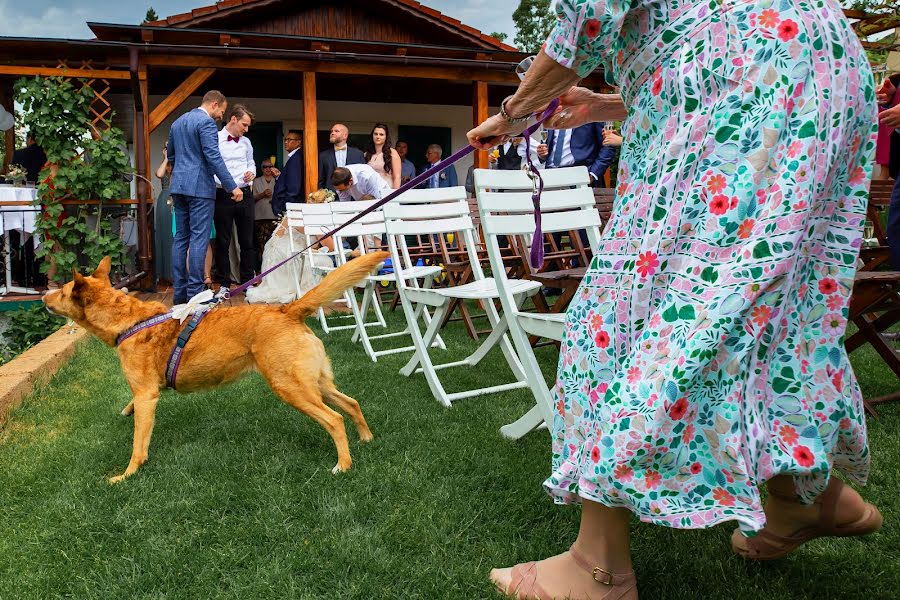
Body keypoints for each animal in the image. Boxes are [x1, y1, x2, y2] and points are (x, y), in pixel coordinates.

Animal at [43, 252, 386, 482]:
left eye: (64, 291)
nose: (44, 295)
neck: (130, 321)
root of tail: (287, 310)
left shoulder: (147, 396)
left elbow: (138, 444)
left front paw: (127, 474)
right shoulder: (145, 392)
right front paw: (126, 413)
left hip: (291, 388)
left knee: (335, 419)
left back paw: (343, 465)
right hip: (316, 383)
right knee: (351, 403)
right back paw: (366, 439)